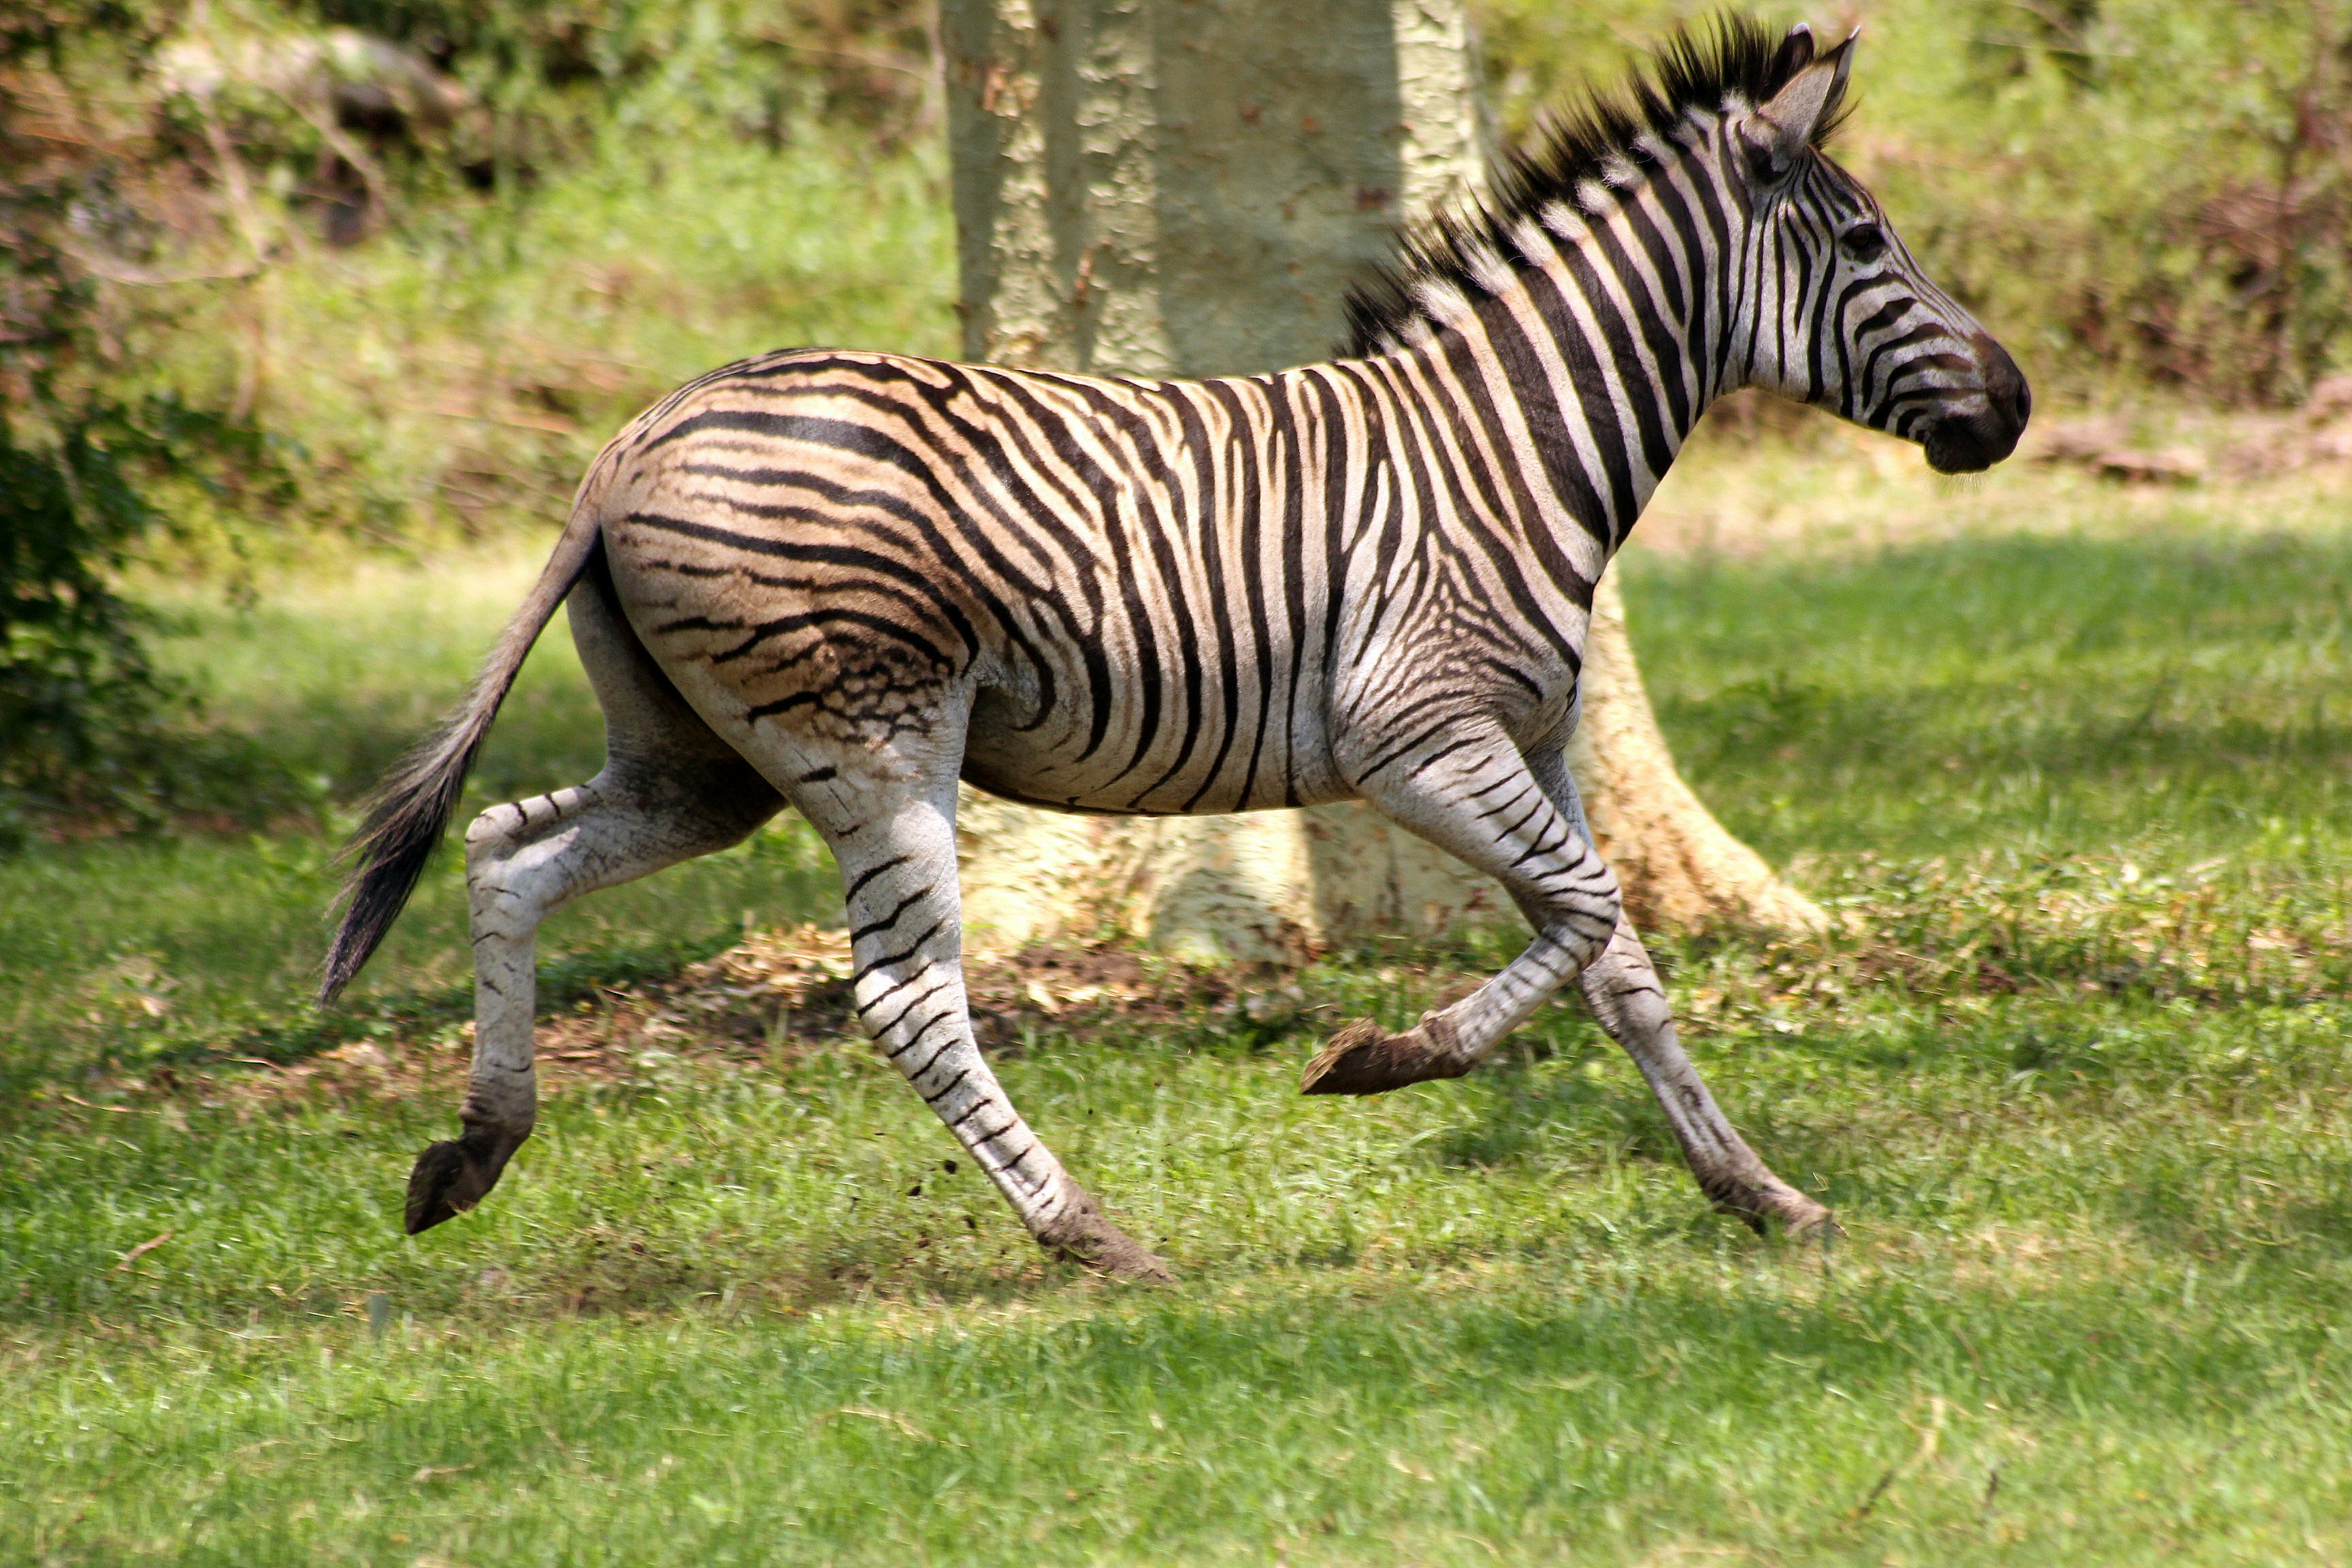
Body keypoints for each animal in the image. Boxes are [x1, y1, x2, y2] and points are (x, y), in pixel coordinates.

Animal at [320, 17, 2027, 1280]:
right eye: (1864, 240)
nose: (2011, 406)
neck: (1507, 446)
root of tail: (627, 443)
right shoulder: (1416, 739)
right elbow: (1590, 917)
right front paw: (1384, 1059)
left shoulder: (1533, 743)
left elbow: (1620, 963)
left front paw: (1759, 1194)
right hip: (872, 743)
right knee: (906, 997)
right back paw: (1090, 1234)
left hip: (704, 760)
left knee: (508, 847)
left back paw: (469, 1155)